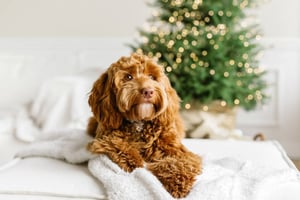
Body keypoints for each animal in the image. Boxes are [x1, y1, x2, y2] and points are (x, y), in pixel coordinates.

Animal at [86, 52, 202, 198]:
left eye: (152, 77)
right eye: (128, 77)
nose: (148, 91)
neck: (140, 122)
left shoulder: (180, 152)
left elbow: (180, 162)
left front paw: (178, 183)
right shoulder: (103, 138)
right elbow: (116, 143)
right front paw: (134, 161)